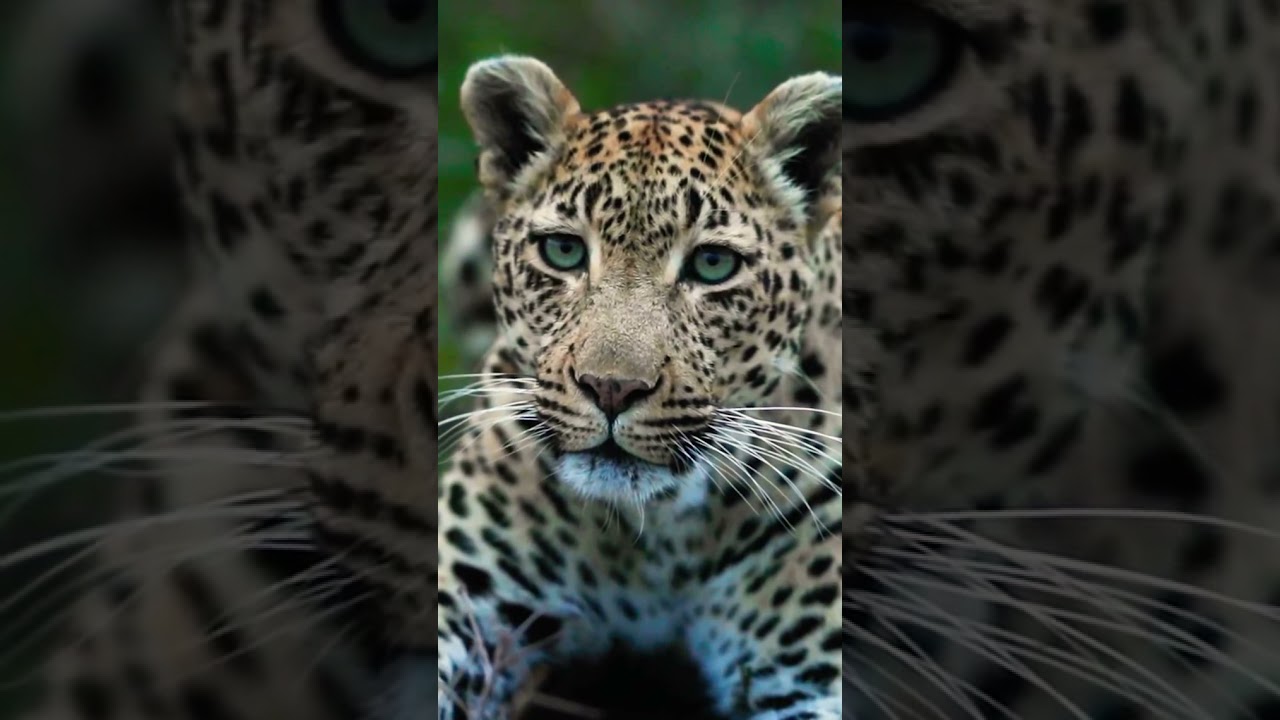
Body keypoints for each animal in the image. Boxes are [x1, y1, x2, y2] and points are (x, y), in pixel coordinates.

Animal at [434, 55, 843, 719]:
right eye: (563, 250)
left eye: (713, 265)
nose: (611, 388)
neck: (658, 535)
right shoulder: (467, 603)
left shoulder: (806, 680)